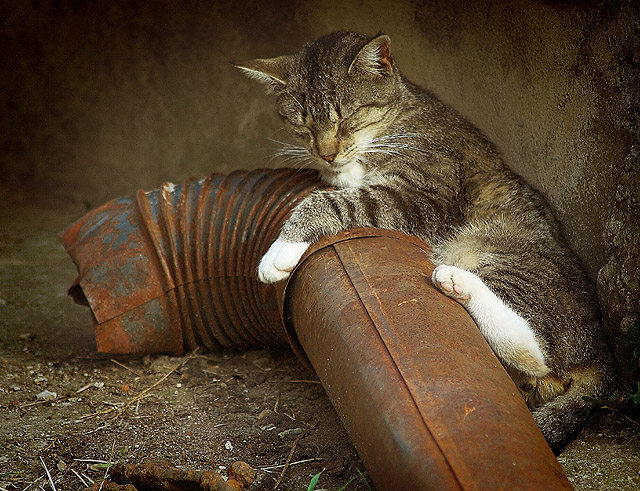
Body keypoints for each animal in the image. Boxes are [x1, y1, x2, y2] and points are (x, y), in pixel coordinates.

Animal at [235, 30, 616, 454]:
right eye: (303, 126)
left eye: (345, 118)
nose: (327, 153)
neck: (398, 117)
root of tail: (602, 353)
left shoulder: (419, 197)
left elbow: (334, 200)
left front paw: (280, 250)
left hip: (501, 255)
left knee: (538, 354)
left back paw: (456, 282)